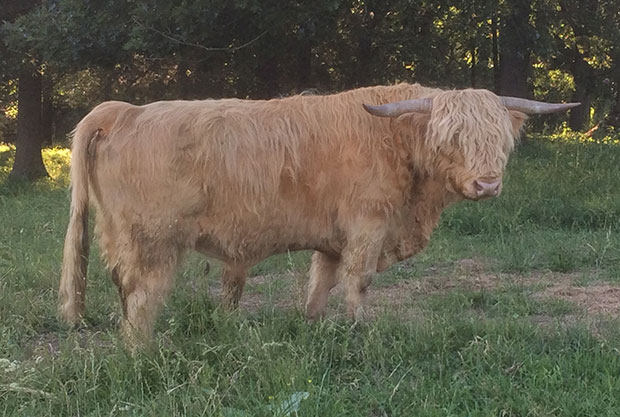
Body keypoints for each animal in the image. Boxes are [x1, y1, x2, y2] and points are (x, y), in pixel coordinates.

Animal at [57, 83, 576, 340]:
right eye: (452, 137)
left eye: (500, 139)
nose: (487, 183)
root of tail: (124, 111)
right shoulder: (368, 225)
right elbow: (358, 282)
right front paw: (360, 332)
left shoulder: (333, 237)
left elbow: (321, 284)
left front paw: (313, 326)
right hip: (153, 239)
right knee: (144, 296)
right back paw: (139, 350)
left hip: (121, 236)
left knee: (123, 287)